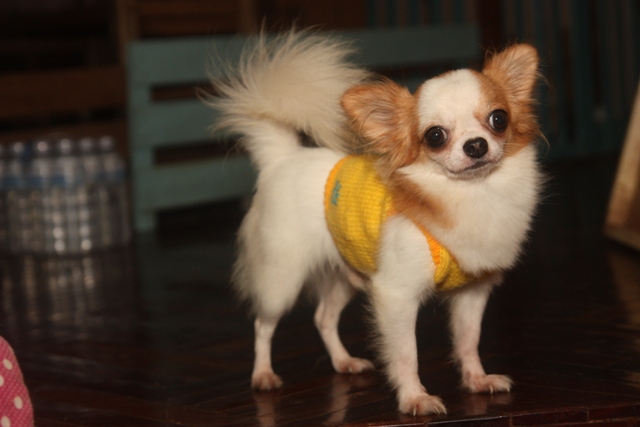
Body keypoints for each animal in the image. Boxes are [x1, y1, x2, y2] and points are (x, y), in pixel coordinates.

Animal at [206, 31, 543, 416]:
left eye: (499, 119)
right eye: (435, 136)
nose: (476, 145)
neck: (475, 195)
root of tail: (283, 157)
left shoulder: (472, 292)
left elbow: (468, 341)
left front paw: (477, 380)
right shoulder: (395, 296)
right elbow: (406, 354)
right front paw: (414, 398)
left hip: (343, 272)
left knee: (323, 317)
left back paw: (344, 362)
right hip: (281, 280)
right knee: (264, 324)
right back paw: (263, 375)